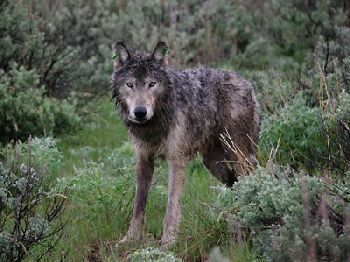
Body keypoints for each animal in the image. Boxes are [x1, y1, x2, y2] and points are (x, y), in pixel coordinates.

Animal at [111, 41, 260, 250]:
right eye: (130, 84)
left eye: (151, 84)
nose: (140, 112)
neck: (155, 123)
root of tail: (246, 82)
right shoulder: (143, 160)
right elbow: (138, 206)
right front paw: (130, 239)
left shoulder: (176, 160)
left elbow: (172, 205)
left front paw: (167, 243)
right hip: (216, 165)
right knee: (235, 187)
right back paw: (238, 233)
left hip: (238, 158)